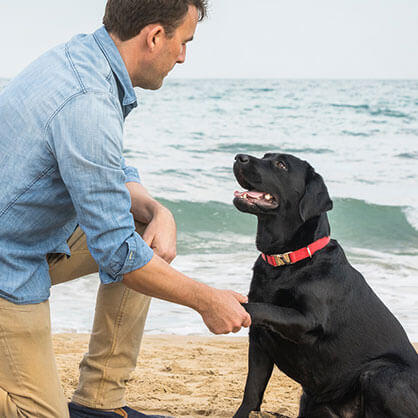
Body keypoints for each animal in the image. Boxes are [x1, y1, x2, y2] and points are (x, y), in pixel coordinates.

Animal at [233, 153, 416, 418]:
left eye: (281, 164)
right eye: (266, 155)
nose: (239, 157)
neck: (287, 261)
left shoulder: (308, 320)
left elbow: (262, 308)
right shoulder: (259, 342)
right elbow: (251, 392)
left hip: (381, 374)